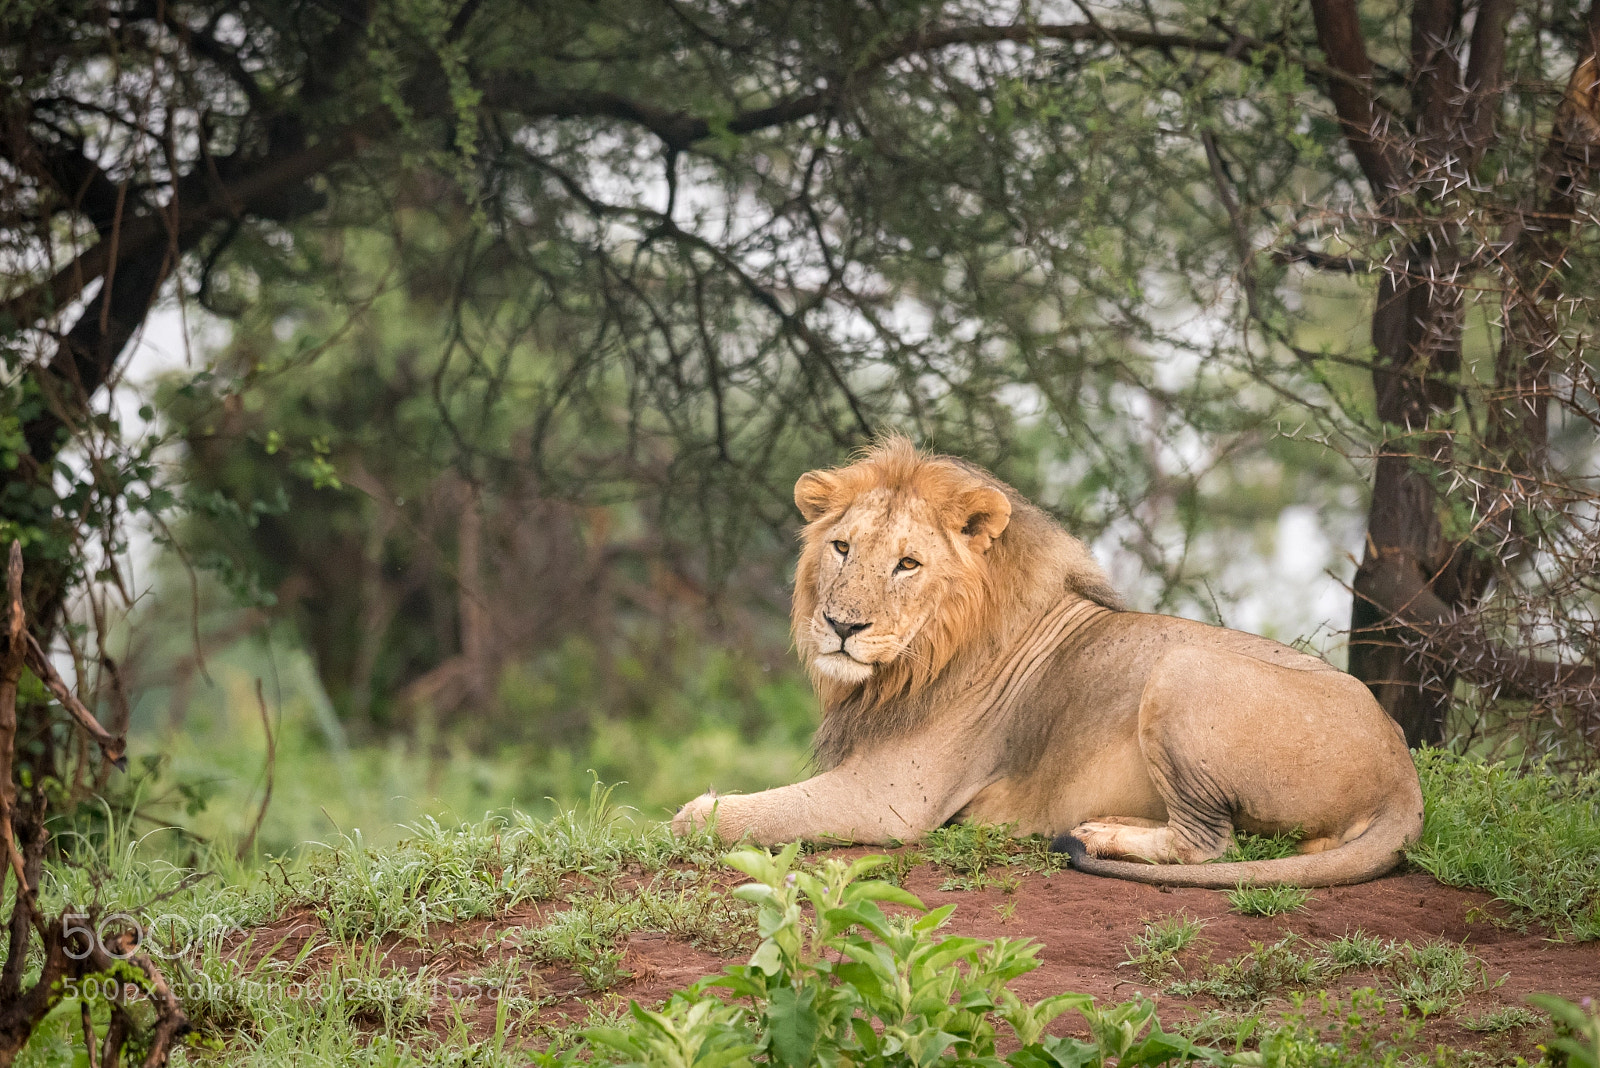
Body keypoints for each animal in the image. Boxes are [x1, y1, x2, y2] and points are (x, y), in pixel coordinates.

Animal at [673, 437, 1424, 887]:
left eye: (907, 564)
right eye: (841, 548)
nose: (840, 626)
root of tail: (1403, 773)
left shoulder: (890, 799)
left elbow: (712, 816)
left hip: (1182, 669)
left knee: (1209, 844)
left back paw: (1101, 834)